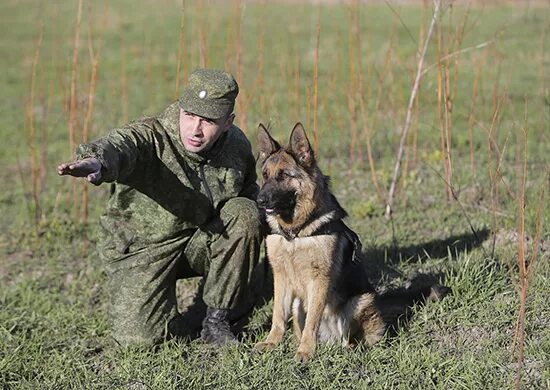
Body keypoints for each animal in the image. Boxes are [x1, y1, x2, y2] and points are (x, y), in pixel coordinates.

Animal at [254, 123, 448, 362]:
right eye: (265, 175)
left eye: (283, 176)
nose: (259, 201)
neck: (296, 233)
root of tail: (330, 339)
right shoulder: (281, 278)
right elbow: (278, 315)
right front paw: (273, 342)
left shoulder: (320, 280)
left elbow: (312, 321)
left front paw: (305, 351)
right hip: (300, 303)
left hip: (358, 302)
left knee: (356, 338)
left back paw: (351, 348)